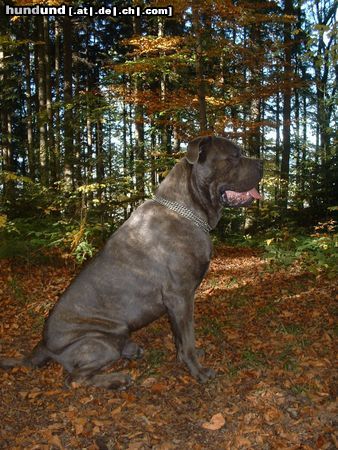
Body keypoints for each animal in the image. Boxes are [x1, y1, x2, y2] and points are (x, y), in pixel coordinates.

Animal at [0, 135, 262, 388]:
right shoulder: (180, 296)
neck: (186, 210)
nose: (262, 162)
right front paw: (197, 370)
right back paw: (117, 379)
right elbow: (187, 337)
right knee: (74, 379)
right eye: (235, 156)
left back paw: (130, 350)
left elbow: (181, 337)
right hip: (100, 343)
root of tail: (43, 345)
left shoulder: (178, 303)